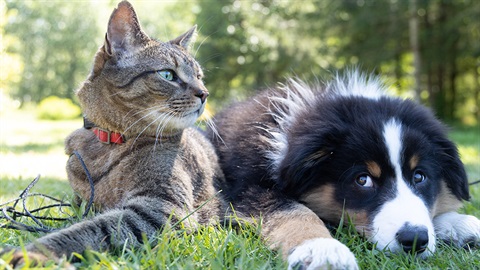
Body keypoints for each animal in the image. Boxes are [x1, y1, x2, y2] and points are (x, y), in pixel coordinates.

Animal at [2, 0, 224, 266]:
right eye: (167, 74)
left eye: (200, 77)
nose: (205, 93)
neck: (109, 142)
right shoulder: (81, 202)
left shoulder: (161, 207)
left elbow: (90, 229)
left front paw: (33, 252)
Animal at [211, 70, 480, 268]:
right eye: (363, 180)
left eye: (419, 176)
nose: (414, 240)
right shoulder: (248, 188)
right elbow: (293, 211)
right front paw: (321, 248)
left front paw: (458, 223)